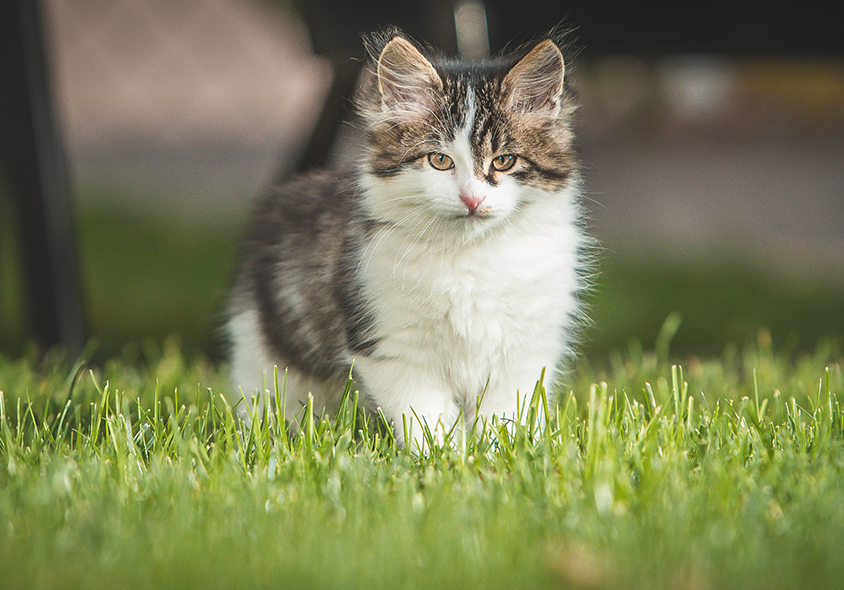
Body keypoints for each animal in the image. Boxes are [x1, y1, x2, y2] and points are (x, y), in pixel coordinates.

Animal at [227, 30, 592, 450]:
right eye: (439, 161)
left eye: (503, 161)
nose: (472, 199)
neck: (471, 255)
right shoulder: (394, 347)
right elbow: (426, 417)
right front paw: (443, 457)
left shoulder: (527, 349)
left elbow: (505, 416)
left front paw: (501, 453)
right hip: (263, 351)